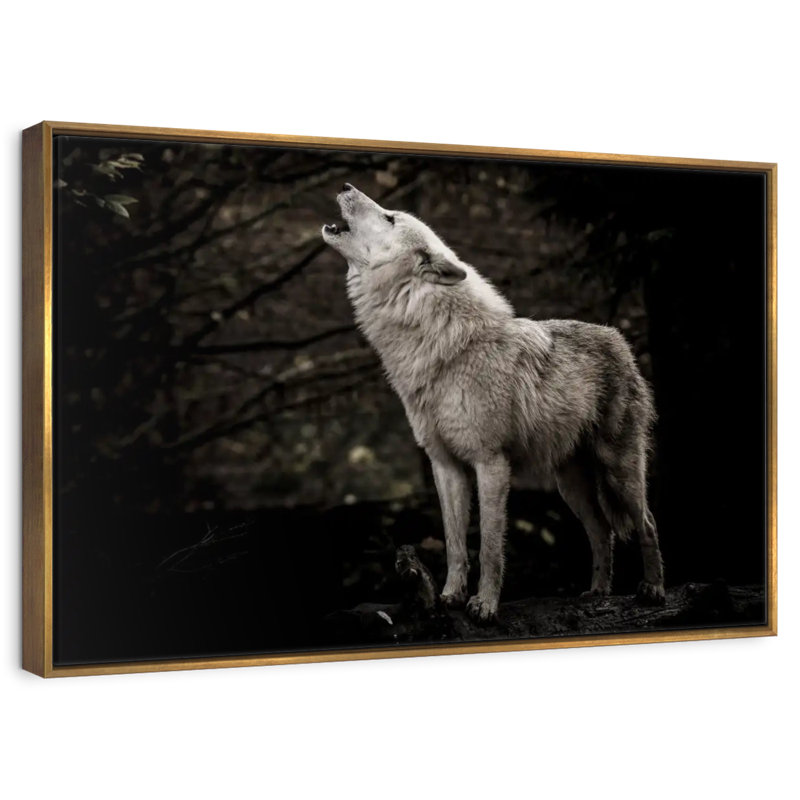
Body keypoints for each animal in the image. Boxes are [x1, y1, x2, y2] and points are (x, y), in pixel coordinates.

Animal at [322, 184, 665, 621]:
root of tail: (618, 339)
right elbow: (455, 543)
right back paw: (597, 592)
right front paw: (449, 597)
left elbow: (488, 545)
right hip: (569, 485)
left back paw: (653, 590)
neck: (439, 346)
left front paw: (484, 605)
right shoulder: (445, 466)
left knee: (647, 522)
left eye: (390, 218)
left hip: (619, 471)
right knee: (602, 530)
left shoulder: (491, 463)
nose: (347, 187)